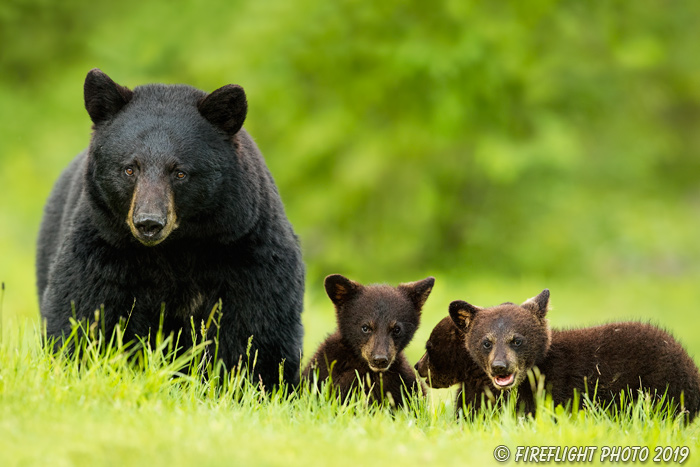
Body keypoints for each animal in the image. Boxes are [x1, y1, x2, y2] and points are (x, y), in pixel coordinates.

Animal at [35, 69, 304, 390]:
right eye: (130, 168)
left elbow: (259, 330)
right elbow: (82, 313)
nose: (149, 223)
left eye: (180, 172)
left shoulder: (247, 250)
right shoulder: (102, 247)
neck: (176, 248)